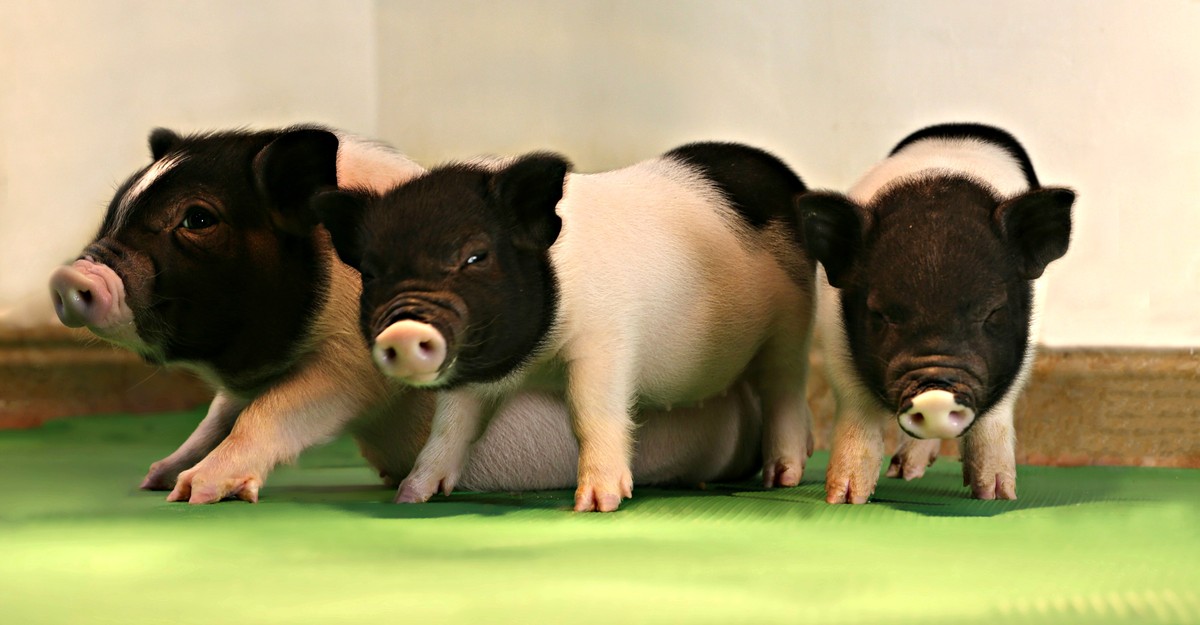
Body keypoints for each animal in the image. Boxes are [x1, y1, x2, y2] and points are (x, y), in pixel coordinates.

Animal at [47, 126, 767, 503]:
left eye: (197, 219)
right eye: (117, 207)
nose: (69, 275)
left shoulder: (349, 370)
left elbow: (269, 413)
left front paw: (193, 491)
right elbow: (215, 416)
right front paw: (156, 478)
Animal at [313, 142, 817, 512]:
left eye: (475, 256)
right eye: (371, 272)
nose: (401, 328)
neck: (537, 362)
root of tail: (782, 174)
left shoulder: (606, 343)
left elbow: (591, 413)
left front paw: (595, 504)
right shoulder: (478, 370)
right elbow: (451, 426)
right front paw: (411, 495)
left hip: (793, 323)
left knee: (784, 389)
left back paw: (782, 477)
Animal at [795, 123, 1074, 503]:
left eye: (992, 311)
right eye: (880, 314)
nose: (935, 395)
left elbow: (995, 418)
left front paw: (997, 495)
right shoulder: (835, 340)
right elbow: (858, 414)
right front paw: (844, 498)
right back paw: (903, 473)